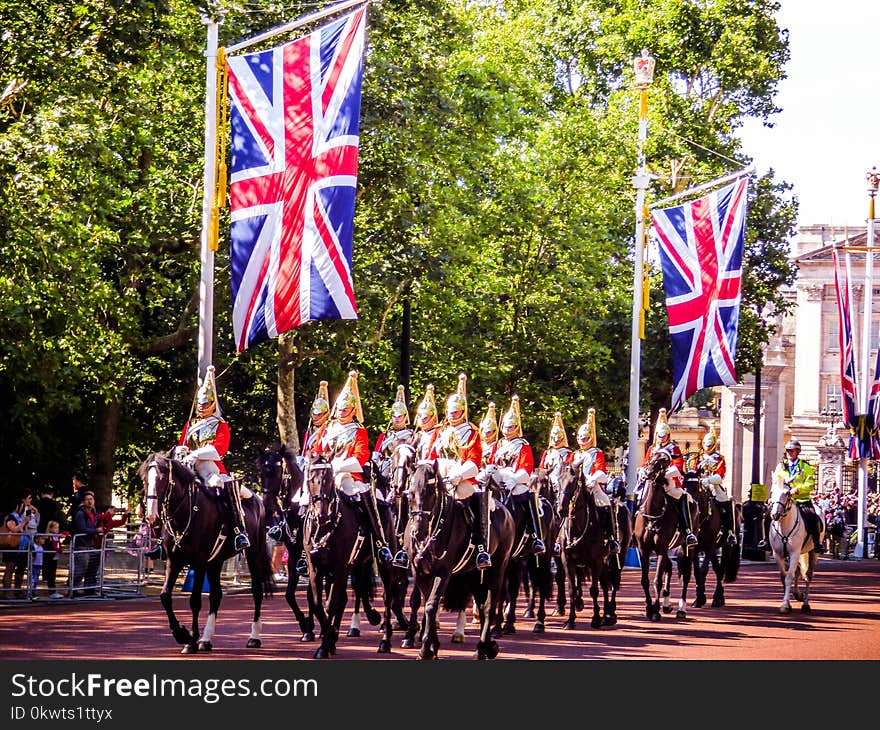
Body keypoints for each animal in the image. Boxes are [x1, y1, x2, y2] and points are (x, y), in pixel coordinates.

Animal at [138, 452, 272, 652]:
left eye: (162, 478)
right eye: (145, 479)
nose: (152, 517)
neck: (185, 514)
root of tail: (256, 499)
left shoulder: (199, 562)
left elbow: (195, 600)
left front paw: (190, 640)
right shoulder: (174, 561)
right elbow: (165, 596)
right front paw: (181, 634)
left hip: (253, 553)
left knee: (257, 590)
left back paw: (254, 637)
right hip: (215, 561)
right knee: (216, 595)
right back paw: (206, 639)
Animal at [404, 460, 520, 660]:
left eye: (430, 492)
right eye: (410, 492)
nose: (418, 531)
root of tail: (504, 509)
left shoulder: (444, 572)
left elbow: (431, 605)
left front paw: (425, 649)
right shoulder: (419, 572)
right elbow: (428, 605)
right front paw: (432, 647)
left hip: (497, 569)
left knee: (489, 606)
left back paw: (482, 648)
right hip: (473, 573)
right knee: (481, 605)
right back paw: (487, 646)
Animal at [768, 474, 820, 612]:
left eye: (787, 493)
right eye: (772, 491)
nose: (775, 515)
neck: (784, 525)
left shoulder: (794, 553)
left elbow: (789, 577)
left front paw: (785, 605)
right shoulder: (778, 554)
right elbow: (783, 577)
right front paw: (788, 601)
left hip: (813, 552)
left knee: (808, 575)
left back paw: (806, 603)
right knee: (797, 571)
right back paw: (798, 594)